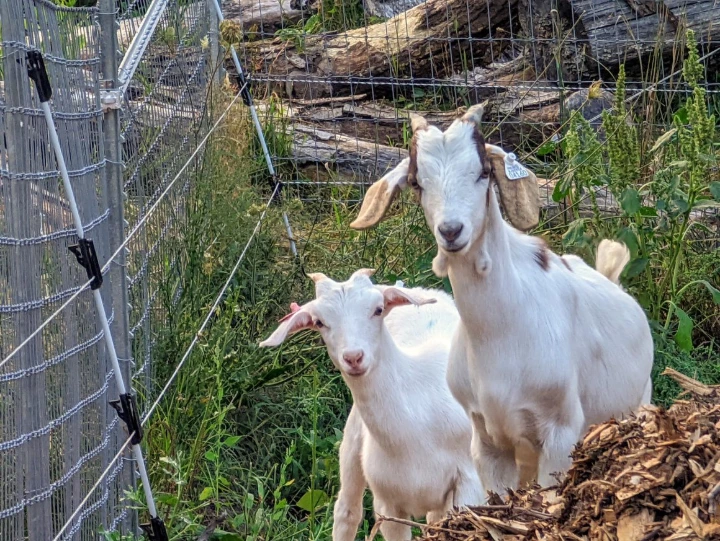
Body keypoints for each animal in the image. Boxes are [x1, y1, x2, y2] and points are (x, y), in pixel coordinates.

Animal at [259, 270, 484, 540]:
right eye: (319, 322)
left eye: (378, 310)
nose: (353, 357)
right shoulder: (388, 504)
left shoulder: (469, 485)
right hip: (352, 444)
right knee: (347, 511)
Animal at [349, 105, 654, 495]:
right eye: (417, 182)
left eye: (483, 172)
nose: (451, 231)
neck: (501, 334)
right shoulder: (487, 440)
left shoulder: (561, 433)